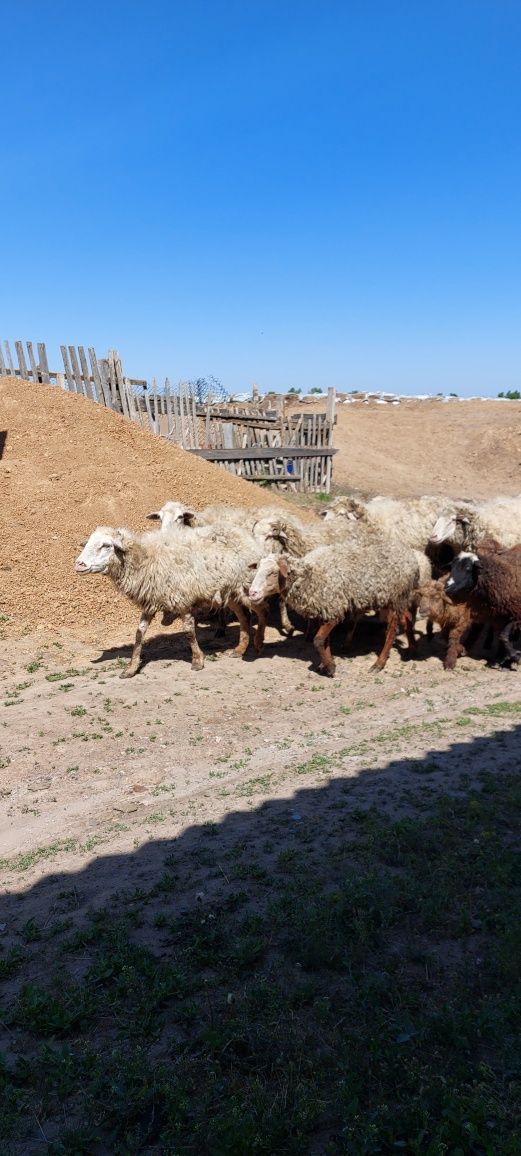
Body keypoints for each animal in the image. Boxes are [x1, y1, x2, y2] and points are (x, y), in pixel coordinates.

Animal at [74, 527, 265, 675]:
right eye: (88, 542)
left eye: (106, 545)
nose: (79, 564)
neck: (145, 559)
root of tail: (246, 535)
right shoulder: (150, 602)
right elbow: (139, 634)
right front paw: (131, 668)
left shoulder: (182, 600)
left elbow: (189, 631)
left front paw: (197, 660)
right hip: (230, 591)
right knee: (244, 617)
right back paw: (240, 649)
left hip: (248, 586)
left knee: (262, 610)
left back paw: (258, 643)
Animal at [248, 531, 420, 675]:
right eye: (257, 570)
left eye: (272, 573)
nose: (252, 593)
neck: (309, 575)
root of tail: (409, 553)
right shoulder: (324, 610)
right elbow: (325, 641)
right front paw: (325, 664)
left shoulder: (333, 609)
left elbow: (318, 640)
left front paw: (330, 667)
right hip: (395, 597)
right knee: (407, 617)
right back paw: (412, 648)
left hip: (396, 596)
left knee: (391, 630)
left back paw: (379, 663)